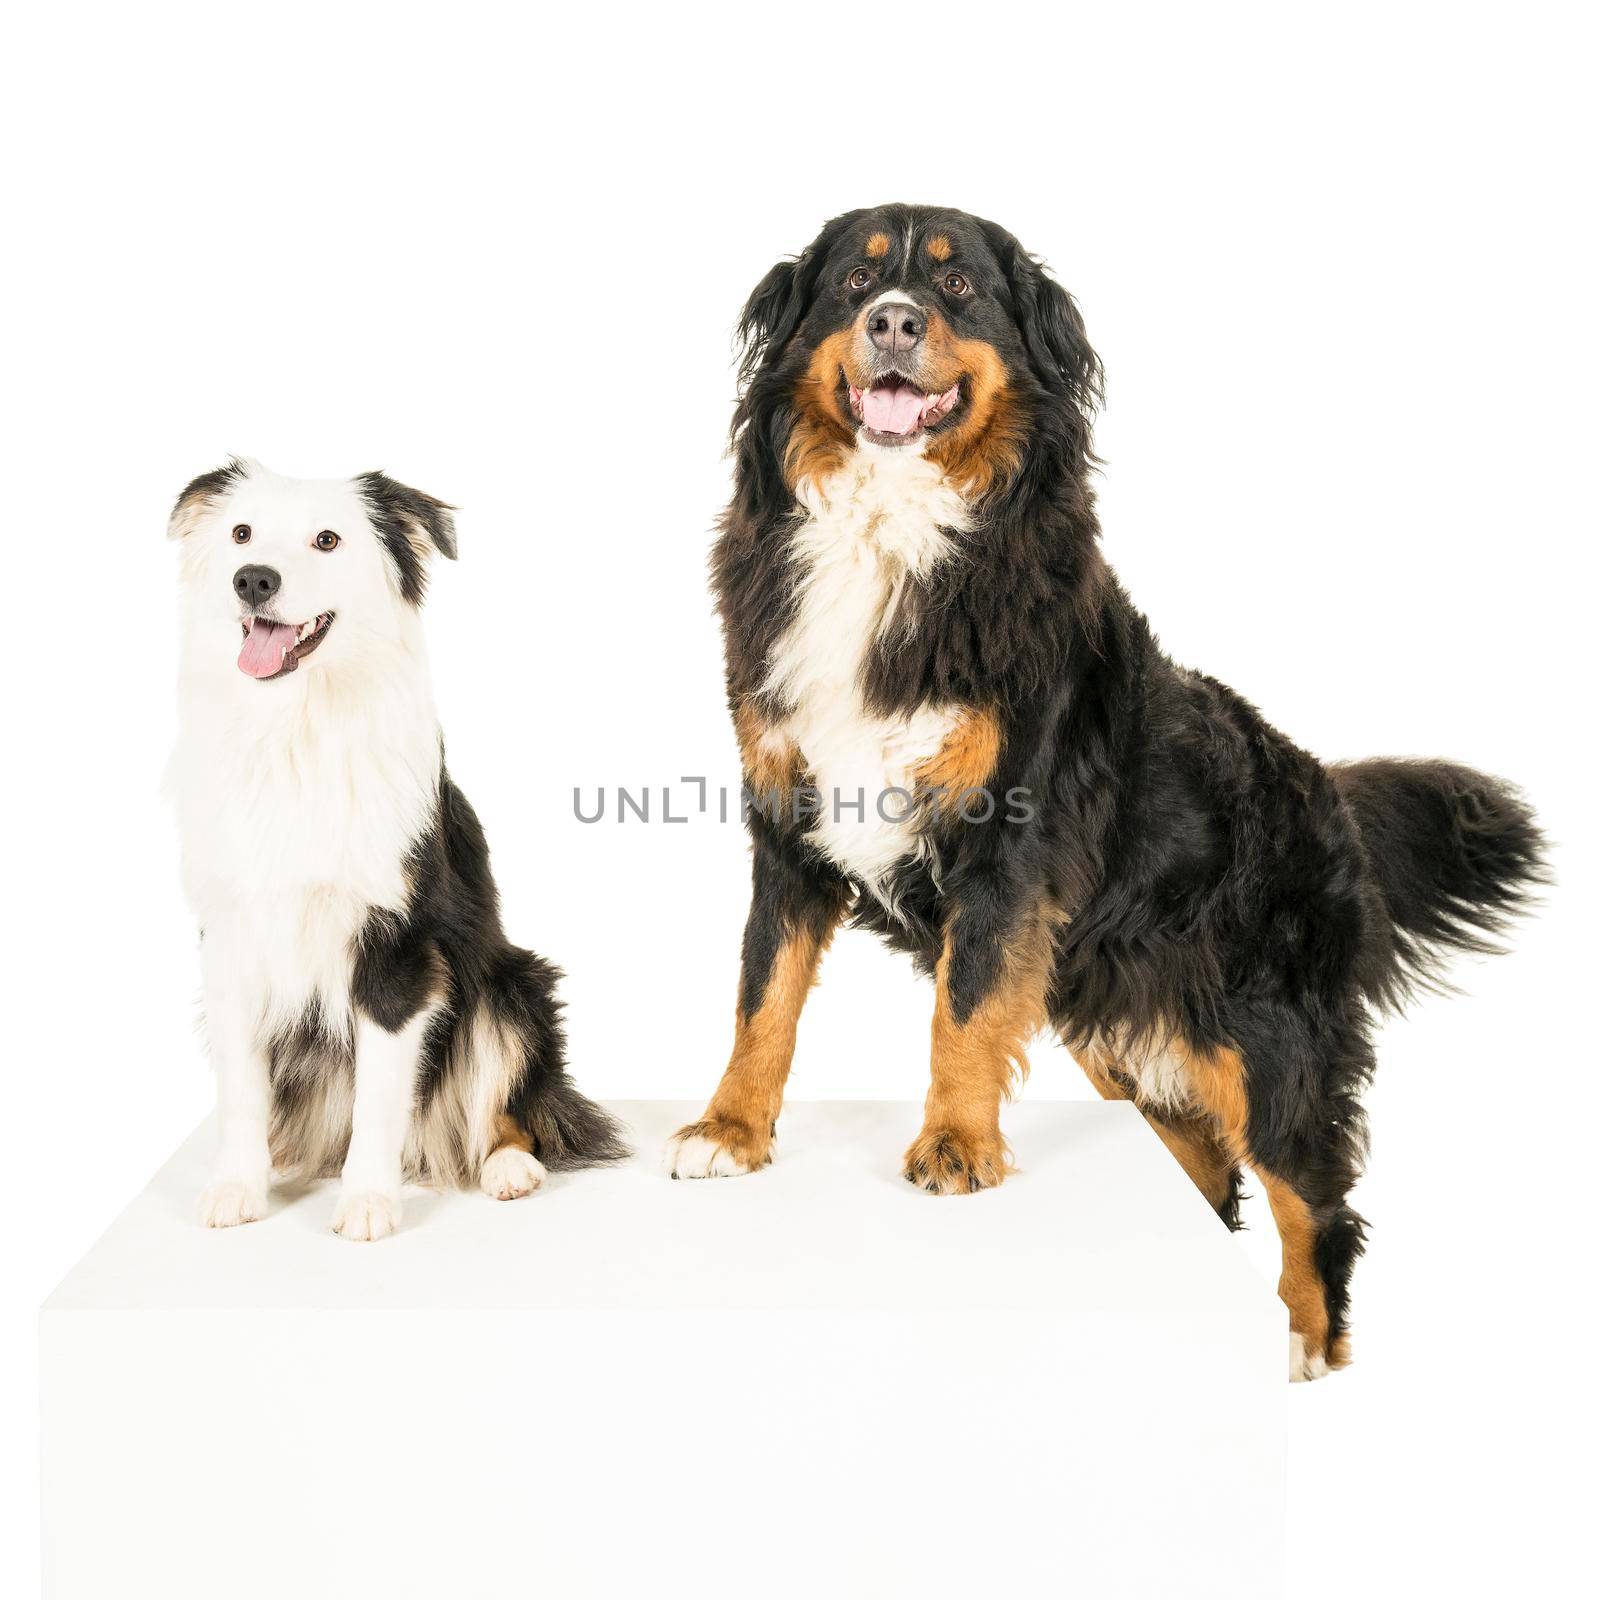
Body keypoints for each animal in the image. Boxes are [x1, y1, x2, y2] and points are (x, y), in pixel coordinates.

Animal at [167, 460, 624, 1235]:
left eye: (327, 539)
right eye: (241, 533)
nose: (253, 579)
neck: (296, 731)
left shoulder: (397, 946)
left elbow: (380, 1095)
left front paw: (368, 1201)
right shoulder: (230, 939)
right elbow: (243, 1088)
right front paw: (237, 1184)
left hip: (508, 990)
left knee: (507, 1108)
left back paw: (507, 1167)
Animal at [659, 200, 1536, 1376]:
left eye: (958, 288)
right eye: (852, 282)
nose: (894, 321)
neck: (889, 535)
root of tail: (1326, 789)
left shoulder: (1005, 843)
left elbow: (961, 1010)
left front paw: (953, 1145)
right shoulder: (785, 826)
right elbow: (764, 997)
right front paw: (731, 1130)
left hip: (1268, 1041)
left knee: (1315, 1210)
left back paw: (1308, 1354)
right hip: (1126, 1033)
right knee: (1209, 1168)